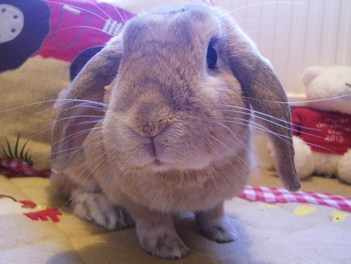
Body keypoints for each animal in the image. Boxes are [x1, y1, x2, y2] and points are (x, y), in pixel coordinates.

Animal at [51, 3, 302, 260]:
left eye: (212, 55)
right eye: (120, 66)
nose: (149, 123)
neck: (181, 172)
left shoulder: (216, 198)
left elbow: (213, 212)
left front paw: (223, 233)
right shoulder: (137, 200)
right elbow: (153, 221)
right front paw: (168, 248)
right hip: (77, 167)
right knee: (73, 189)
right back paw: (106, 213)